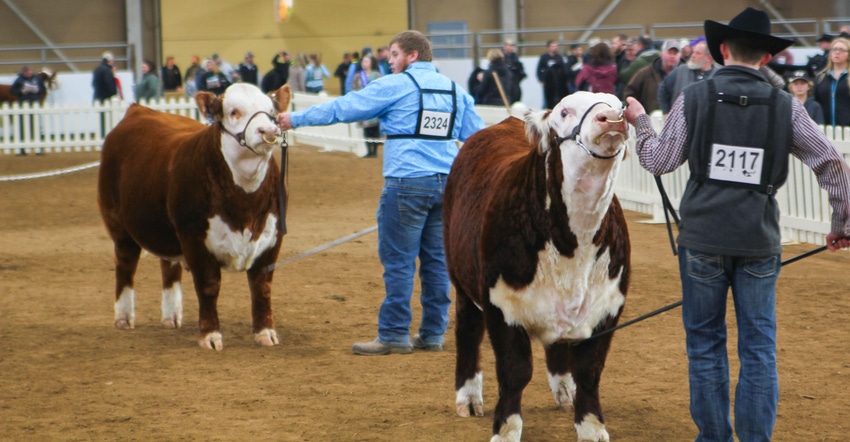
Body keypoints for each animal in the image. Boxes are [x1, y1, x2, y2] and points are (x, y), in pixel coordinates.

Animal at [97, 83, 290, 350]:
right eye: (234, 111)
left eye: (271, 111)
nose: (268, 131)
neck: (245, 203)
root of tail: (139, 110)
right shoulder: (194, 237)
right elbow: (208, 286)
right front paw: (210, 336)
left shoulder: (271, 237)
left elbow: (261, 287)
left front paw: (266, 333)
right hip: (119, 225)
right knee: (125, 265)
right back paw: (124, 318)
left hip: (165, 230)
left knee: (169, 267)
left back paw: (171, 316)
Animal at [444, 91, 628, 440]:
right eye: (565, 111)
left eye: (619, 104)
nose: (612, 119)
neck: (572, 245)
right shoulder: (501, 305)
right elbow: (515, 371)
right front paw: (506, 429)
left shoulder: (608, 307)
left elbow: (589, 370)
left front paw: (592, 427)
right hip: (461, 280)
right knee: (468, 332)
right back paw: (468, 398)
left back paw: (565, 392)